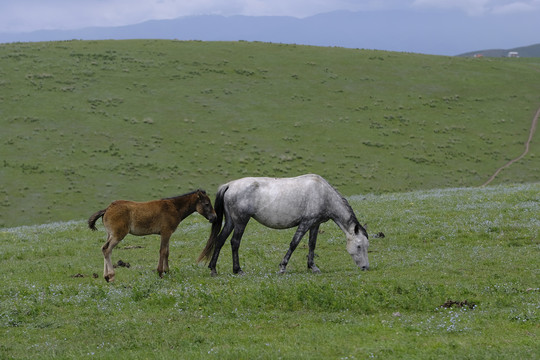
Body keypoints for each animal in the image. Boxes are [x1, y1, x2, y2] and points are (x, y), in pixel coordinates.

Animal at [87, 190, 216, 282]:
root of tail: (107, 209)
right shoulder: (166, 232)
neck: (174, 207)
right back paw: (111, 276)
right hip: (118, 235)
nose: (214, 217)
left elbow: (167, 252)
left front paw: (167, 271)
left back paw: (106, 276)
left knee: (104, 248)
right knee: (107, 249)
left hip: (110, 234)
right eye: (207, 204)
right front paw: (160, 272)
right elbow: (162, 251)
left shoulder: (167, 234)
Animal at [196, 174, 370, 276]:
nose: (365, 267)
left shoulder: (315, 225)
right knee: (234, 242)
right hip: (240, 221)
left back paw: (213, 269)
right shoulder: (305, 223)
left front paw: (312, 267)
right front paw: (282, 267)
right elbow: (294, 243)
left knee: (220, 240)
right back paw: (237, 270)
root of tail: (230, 185)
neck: (323, 193)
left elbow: (312, 244)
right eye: (359, 246)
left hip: (231, 222)